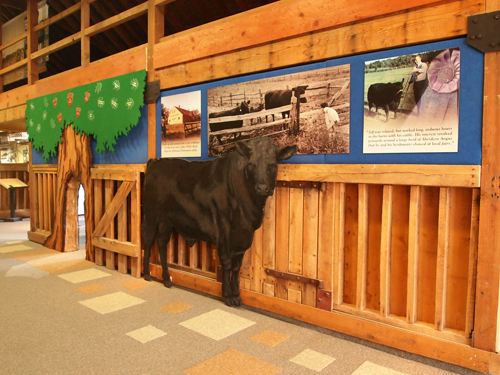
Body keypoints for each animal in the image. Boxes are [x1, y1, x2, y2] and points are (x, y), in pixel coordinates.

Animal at [205, 65, 350, 156]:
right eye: (300, 92)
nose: (306, 99)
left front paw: (284, 127)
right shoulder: (284, 111)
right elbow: (284, 119)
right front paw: (283, 127)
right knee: (269, 116)